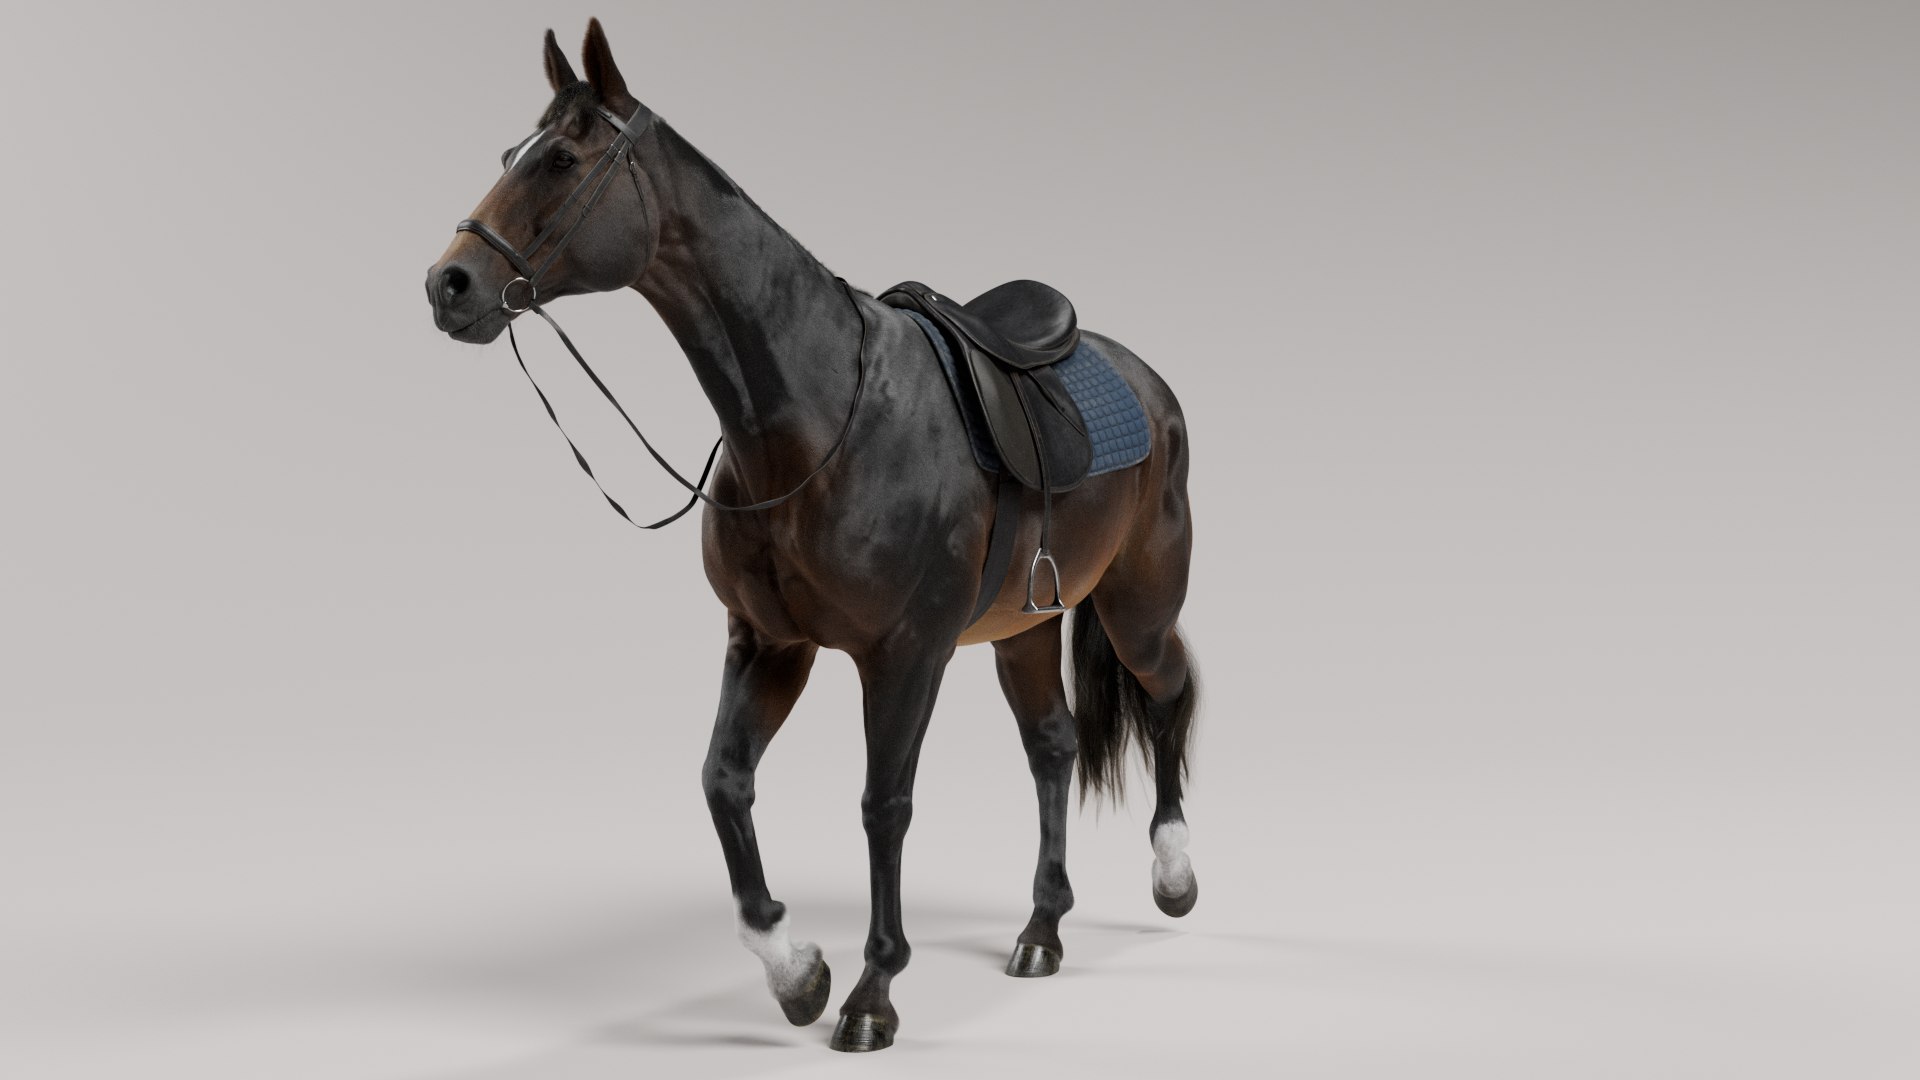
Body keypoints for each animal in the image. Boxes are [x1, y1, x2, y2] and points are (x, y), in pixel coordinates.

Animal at [424, 19, 1200, 1053]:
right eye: (512, 152)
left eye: (560, 160)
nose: (447, 283)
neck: (820, 415)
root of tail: (1145, 380)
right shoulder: (770, 643)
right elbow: (723, 783)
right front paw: (796, 972)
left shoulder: (905, 656)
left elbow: (883, 807)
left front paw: (873, 992)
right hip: (1026, 628)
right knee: (1053, 747)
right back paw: (1041, 930)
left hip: (1134, 607)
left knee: (1169, 693)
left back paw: (1174, 873)